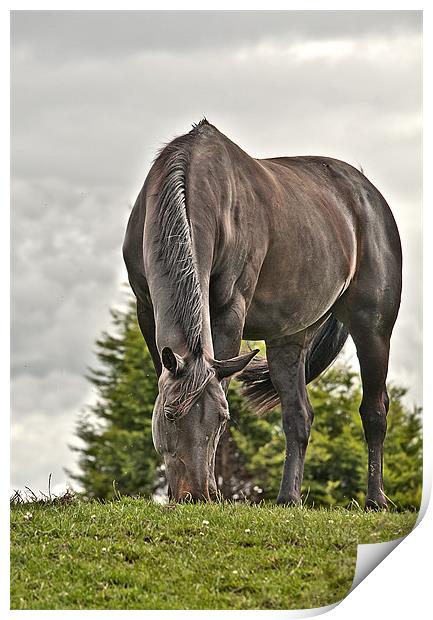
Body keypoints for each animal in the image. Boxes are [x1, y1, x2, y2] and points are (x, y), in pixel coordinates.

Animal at [122, 118, 402, 506]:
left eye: (221, 419)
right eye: (169, 414)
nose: (195, 495)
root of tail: (369, 194)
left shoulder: (228, 312)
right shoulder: (146, 310)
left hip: (373, 329)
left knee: (374, 411)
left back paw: (375, 499)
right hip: (289, 337)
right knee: (299, 415)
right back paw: (288, 498)